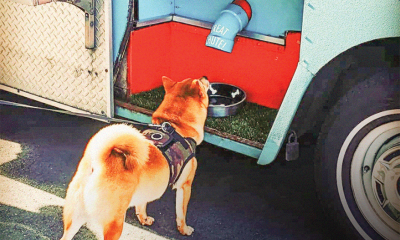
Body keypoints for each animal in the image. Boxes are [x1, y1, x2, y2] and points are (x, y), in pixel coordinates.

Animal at [60, 76, 209, 239]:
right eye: (202, 82)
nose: (205, 77)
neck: (176, 126)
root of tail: (99, 162)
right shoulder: (185, 186)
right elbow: (181, 214)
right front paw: (184, 230)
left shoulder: (145, 190)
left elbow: (141, 205)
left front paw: (143, 219)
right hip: (114, 223)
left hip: (75, 217)